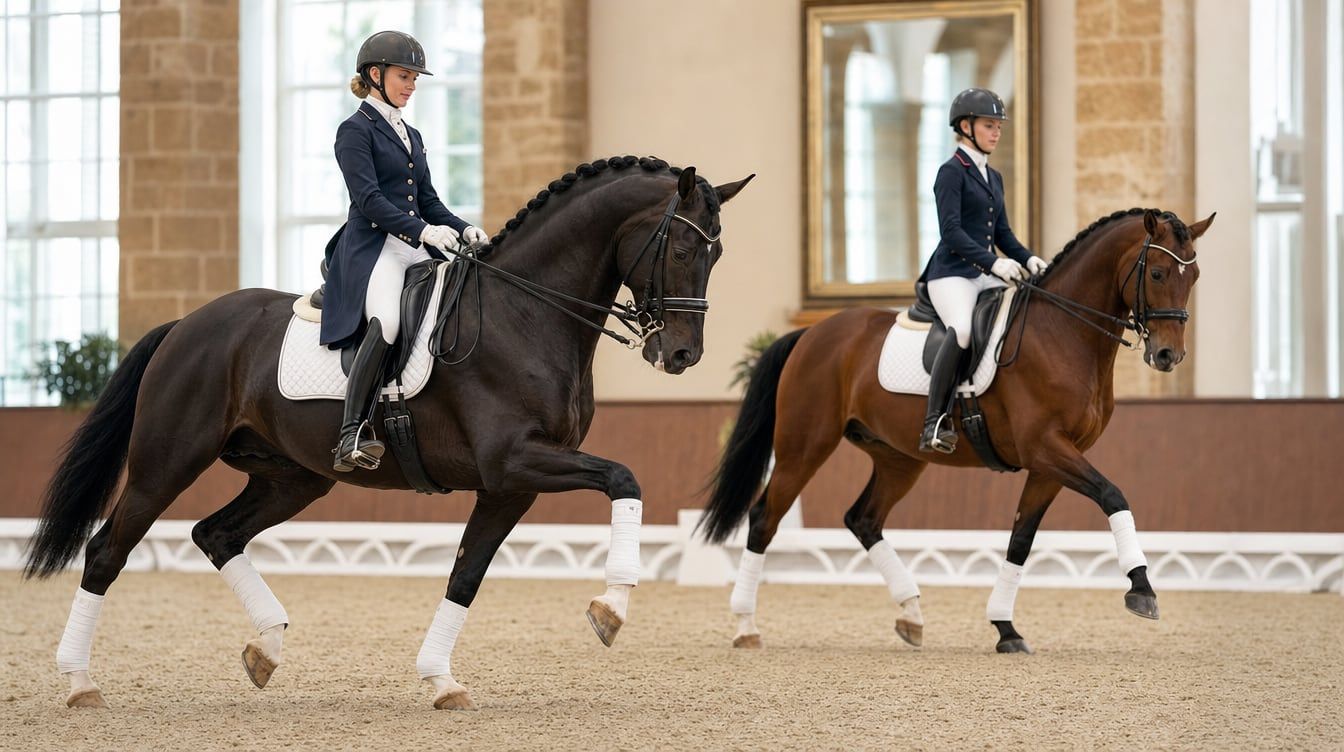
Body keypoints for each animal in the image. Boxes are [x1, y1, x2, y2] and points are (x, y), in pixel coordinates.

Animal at [23, 155, 754, 710]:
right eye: (682, 247)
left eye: (719, 253)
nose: (682, 355)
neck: (527, 311)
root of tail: (186, 324)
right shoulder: (516, 461)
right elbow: (623, 478)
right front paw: (612, 607)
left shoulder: (510, 485)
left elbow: (466, 574)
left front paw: (440, 679)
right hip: (166, 463)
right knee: (107, 552)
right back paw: (81, 682)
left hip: (294, 478)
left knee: (216, 534)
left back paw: (267, 647)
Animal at [699, 208, 1215, 654]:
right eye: (1157, 274)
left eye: (1193, 278)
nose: (1168, 357)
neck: (1064, 332)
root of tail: (810, 334)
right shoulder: (1047, 449)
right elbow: (1113, 495)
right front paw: (1142, 588)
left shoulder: (1051, 463)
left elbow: (1021, 539)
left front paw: (1005, 628)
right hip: (804, 446)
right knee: (765, 517)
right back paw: (746, 626)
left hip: (899, 458)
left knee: (863, 519)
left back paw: (911, 614)